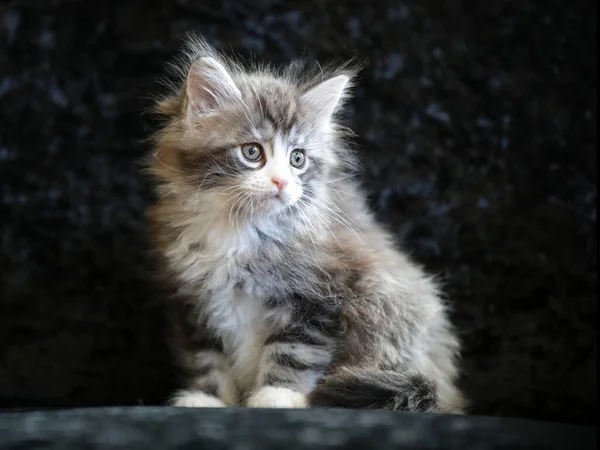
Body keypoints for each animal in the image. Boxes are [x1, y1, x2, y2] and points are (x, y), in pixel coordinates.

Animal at [145, 35, 464, 414]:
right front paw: (207, 399)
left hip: (389, 307)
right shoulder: (190, 301)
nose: (282, 182)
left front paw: (276, 395)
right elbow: (206, 358)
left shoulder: (323, 294)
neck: (242, 230)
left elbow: (293, 351)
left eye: (297, 158)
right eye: (252, 152)